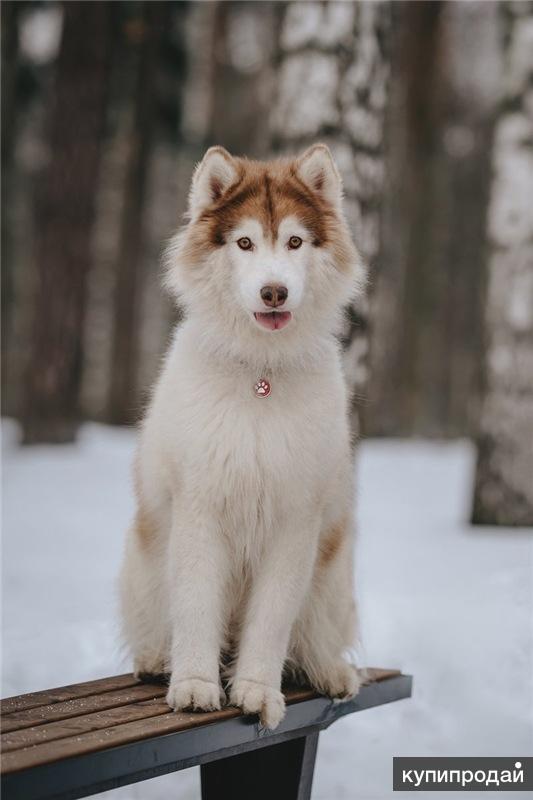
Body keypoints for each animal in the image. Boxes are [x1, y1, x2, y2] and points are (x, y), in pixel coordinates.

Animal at [118, 144, 364, 732]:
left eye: (294, 241)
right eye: (245, 242)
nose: (274, 291)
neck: (261, 374)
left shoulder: (296, 521)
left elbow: (272, 621)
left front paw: (255, 691)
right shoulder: (199, 507)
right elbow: (195, 605)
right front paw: (195, 686)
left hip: (334, 576)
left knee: (310, 639)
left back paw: (331, 672)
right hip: (142, 560)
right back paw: (157, 659)